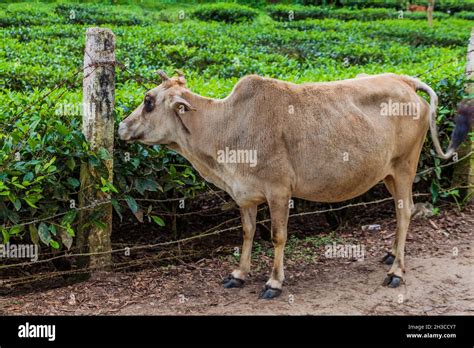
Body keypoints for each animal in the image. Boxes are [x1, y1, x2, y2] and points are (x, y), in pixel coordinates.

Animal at [117, 71, 466, 300]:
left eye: (148, 101)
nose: (121, 126)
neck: (227, 126)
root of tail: (405, 81)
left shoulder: (279, 191)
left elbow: (277, 237)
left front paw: (274, 282)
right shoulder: (246, 195)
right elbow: (247, 233)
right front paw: (238, 275)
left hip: (406, 166)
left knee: (405, 213)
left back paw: (396, 272)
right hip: (389, 173)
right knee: (400, 212)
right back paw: (392, 255)